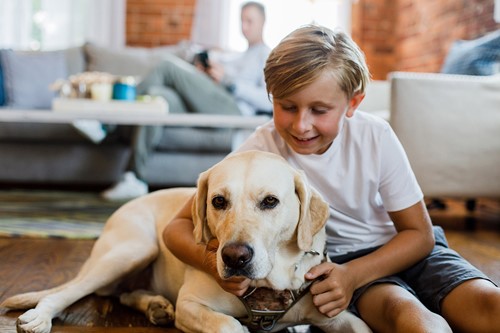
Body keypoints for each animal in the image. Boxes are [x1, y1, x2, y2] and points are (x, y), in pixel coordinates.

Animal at [0, 151, 372, 332]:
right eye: (218, 201)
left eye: (270, 201)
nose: (235, 257)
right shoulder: (192, 305)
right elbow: (229, 326)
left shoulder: (340, 317)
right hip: (132, 250)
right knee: (68, 292)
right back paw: (38, 318)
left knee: (124, 294)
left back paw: (156, 306)